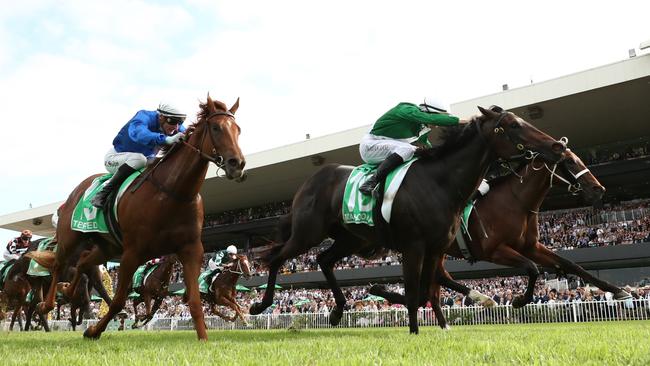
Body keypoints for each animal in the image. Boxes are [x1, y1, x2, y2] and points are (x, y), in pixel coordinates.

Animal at [28, 96, 246, 340]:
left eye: (238, 129)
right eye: (216, 128)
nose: (237, 164)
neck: (173, 193)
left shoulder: (191, 249)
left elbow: (195, 302)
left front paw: (204, 340)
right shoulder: (132, 253)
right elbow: (118, 301)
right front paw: (94, 330)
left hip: (108, 247)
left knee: (83, 263)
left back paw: (67, 291)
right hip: (71, 237)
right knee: (58, 265)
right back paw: (46, 304)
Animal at [251, 106, 564, 334]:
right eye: (513, 125)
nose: (557, 145)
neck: (441, 183)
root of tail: (310, 181)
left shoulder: (436, 248)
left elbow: (429, 289)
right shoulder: (414, 246)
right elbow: (415, 291)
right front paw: (414, 332)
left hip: (352, 238)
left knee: (324, 260)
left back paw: (338, 310)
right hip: (308, 233)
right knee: (277, 258)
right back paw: (260, 305)